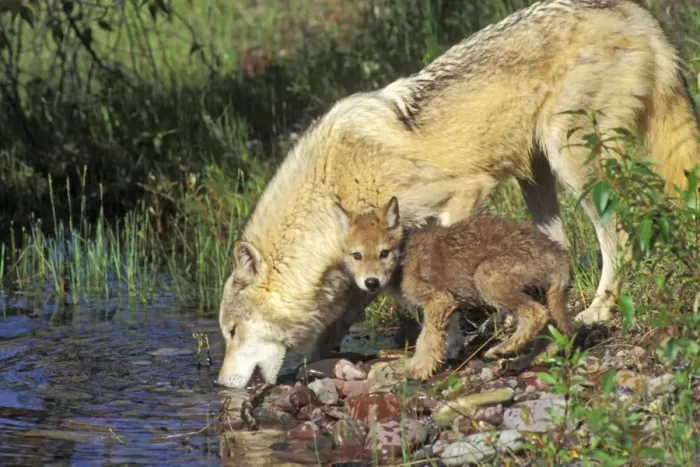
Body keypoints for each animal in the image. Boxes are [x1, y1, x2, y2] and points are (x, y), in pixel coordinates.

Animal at [335, 196, 573, 380]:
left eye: (384, 253)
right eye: (357, 256)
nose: (371, 282)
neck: (403, 257)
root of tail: (556, 252)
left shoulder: (439, 301)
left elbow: (427, 340)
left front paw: (418, 369)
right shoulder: (445, 306)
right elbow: (439, 338)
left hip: (486, 278)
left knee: (536, 315)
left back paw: (503, 349)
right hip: (540, 294)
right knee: (552, 332)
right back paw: (524, 360)